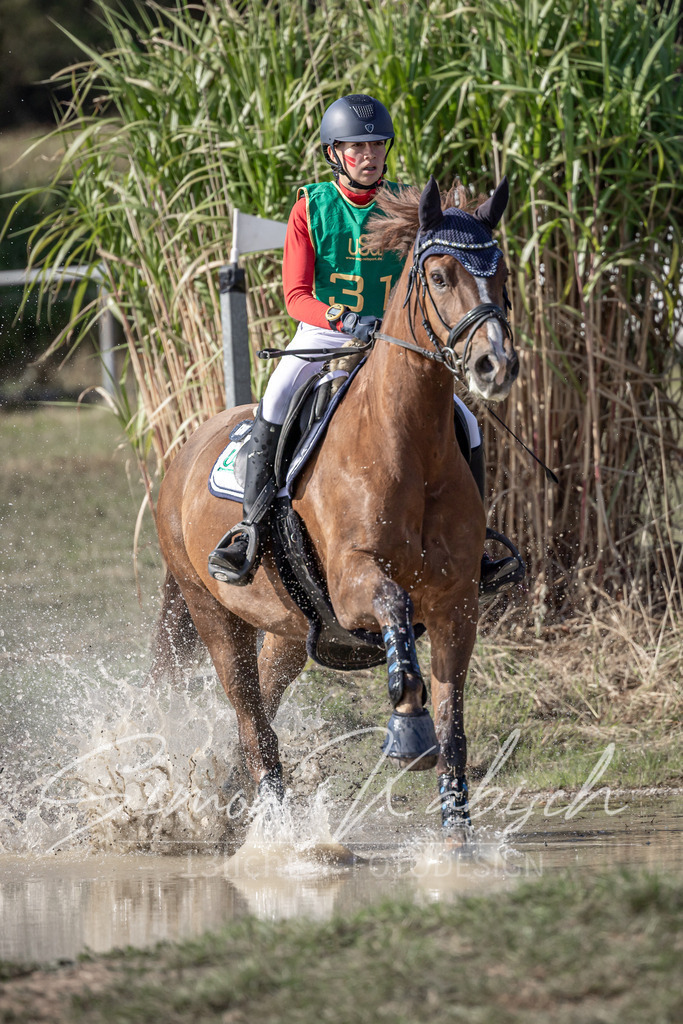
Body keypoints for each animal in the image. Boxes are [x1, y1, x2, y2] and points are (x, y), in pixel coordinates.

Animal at [152, 175, 519, 833]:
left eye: (501, 273)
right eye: (440, 275)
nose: (494, 364)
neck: (406, 443)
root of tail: (184, 452)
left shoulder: (458, 602)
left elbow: (454, 728)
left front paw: (458, 836)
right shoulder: (353, 586)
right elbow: (395, 607)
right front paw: (408, 729)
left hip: (288, 630)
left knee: (260, 714)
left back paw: (235, 805)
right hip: (213, 614)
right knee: (253, 726)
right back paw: (277, 831)